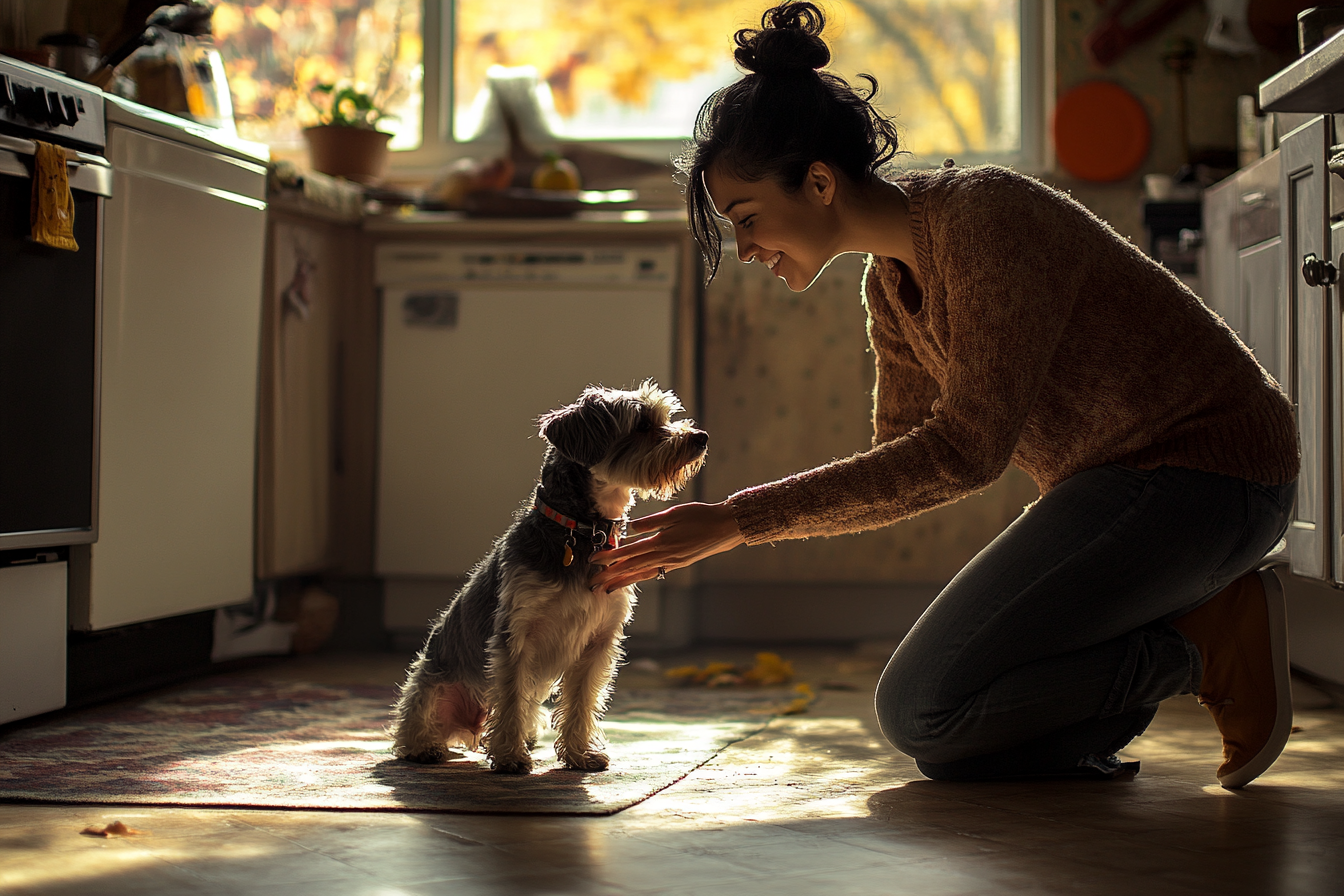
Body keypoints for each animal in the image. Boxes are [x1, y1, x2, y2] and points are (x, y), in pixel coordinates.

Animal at [389, 381, 709, 773]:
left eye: (665, 416)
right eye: (643, 425)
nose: (701, 437)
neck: (583, 529)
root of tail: (472, 730)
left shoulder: (599, 641)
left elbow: (582, 701)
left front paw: (579, 753)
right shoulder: (516, 634)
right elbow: (511, 695)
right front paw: (510, 758)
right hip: (435, 681)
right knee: (417, 712)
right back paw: (425, 746)